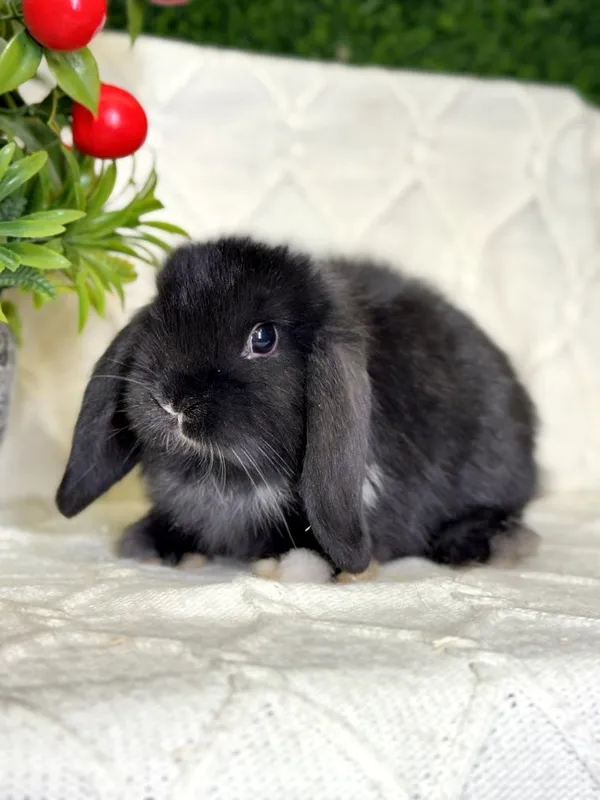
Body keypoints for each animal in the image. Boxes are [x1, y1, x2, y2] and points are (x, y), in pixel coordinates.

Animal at [56, 236, 539, 580]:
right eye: (158, 313)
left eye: (264, 338)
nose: (171, 401)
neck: (224, 476)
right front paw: (157, 545)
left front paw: (291, 564)